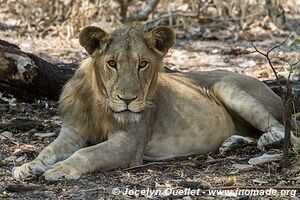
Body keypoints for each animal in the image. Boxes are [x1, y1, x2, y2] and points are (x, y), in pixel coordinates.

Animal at [12, 24, 300, 180]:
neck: (100, 104)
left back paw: (266, 140)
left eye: (143, 64)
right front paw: (28, 167)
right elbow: (47, 150)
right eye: (112, 63)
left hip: (225, 86)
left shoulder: (129, 143)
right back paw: (233, 142)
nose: (128, 100)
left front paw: (60, 169)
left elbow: (88, 154)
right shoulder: (72, 132)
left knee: (286, 132)